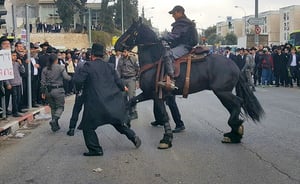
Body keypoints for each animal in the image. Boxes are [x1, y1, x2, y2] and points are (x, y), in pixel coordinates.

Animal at [113, 18, 264, 149]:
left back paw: (235, 129)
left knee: (238, 103)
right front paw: (127, 121)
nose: (116, 45)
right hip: (223, 94)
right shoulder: (148, 93)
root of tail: (235, 66)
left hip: (223, 92)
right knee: (234, 107)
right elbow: (131, 101)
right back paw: (234, 134)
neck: (154, 61)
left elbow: (163, 115)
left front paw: (166, 139)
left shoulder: (156, 95)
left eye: (131, 31)